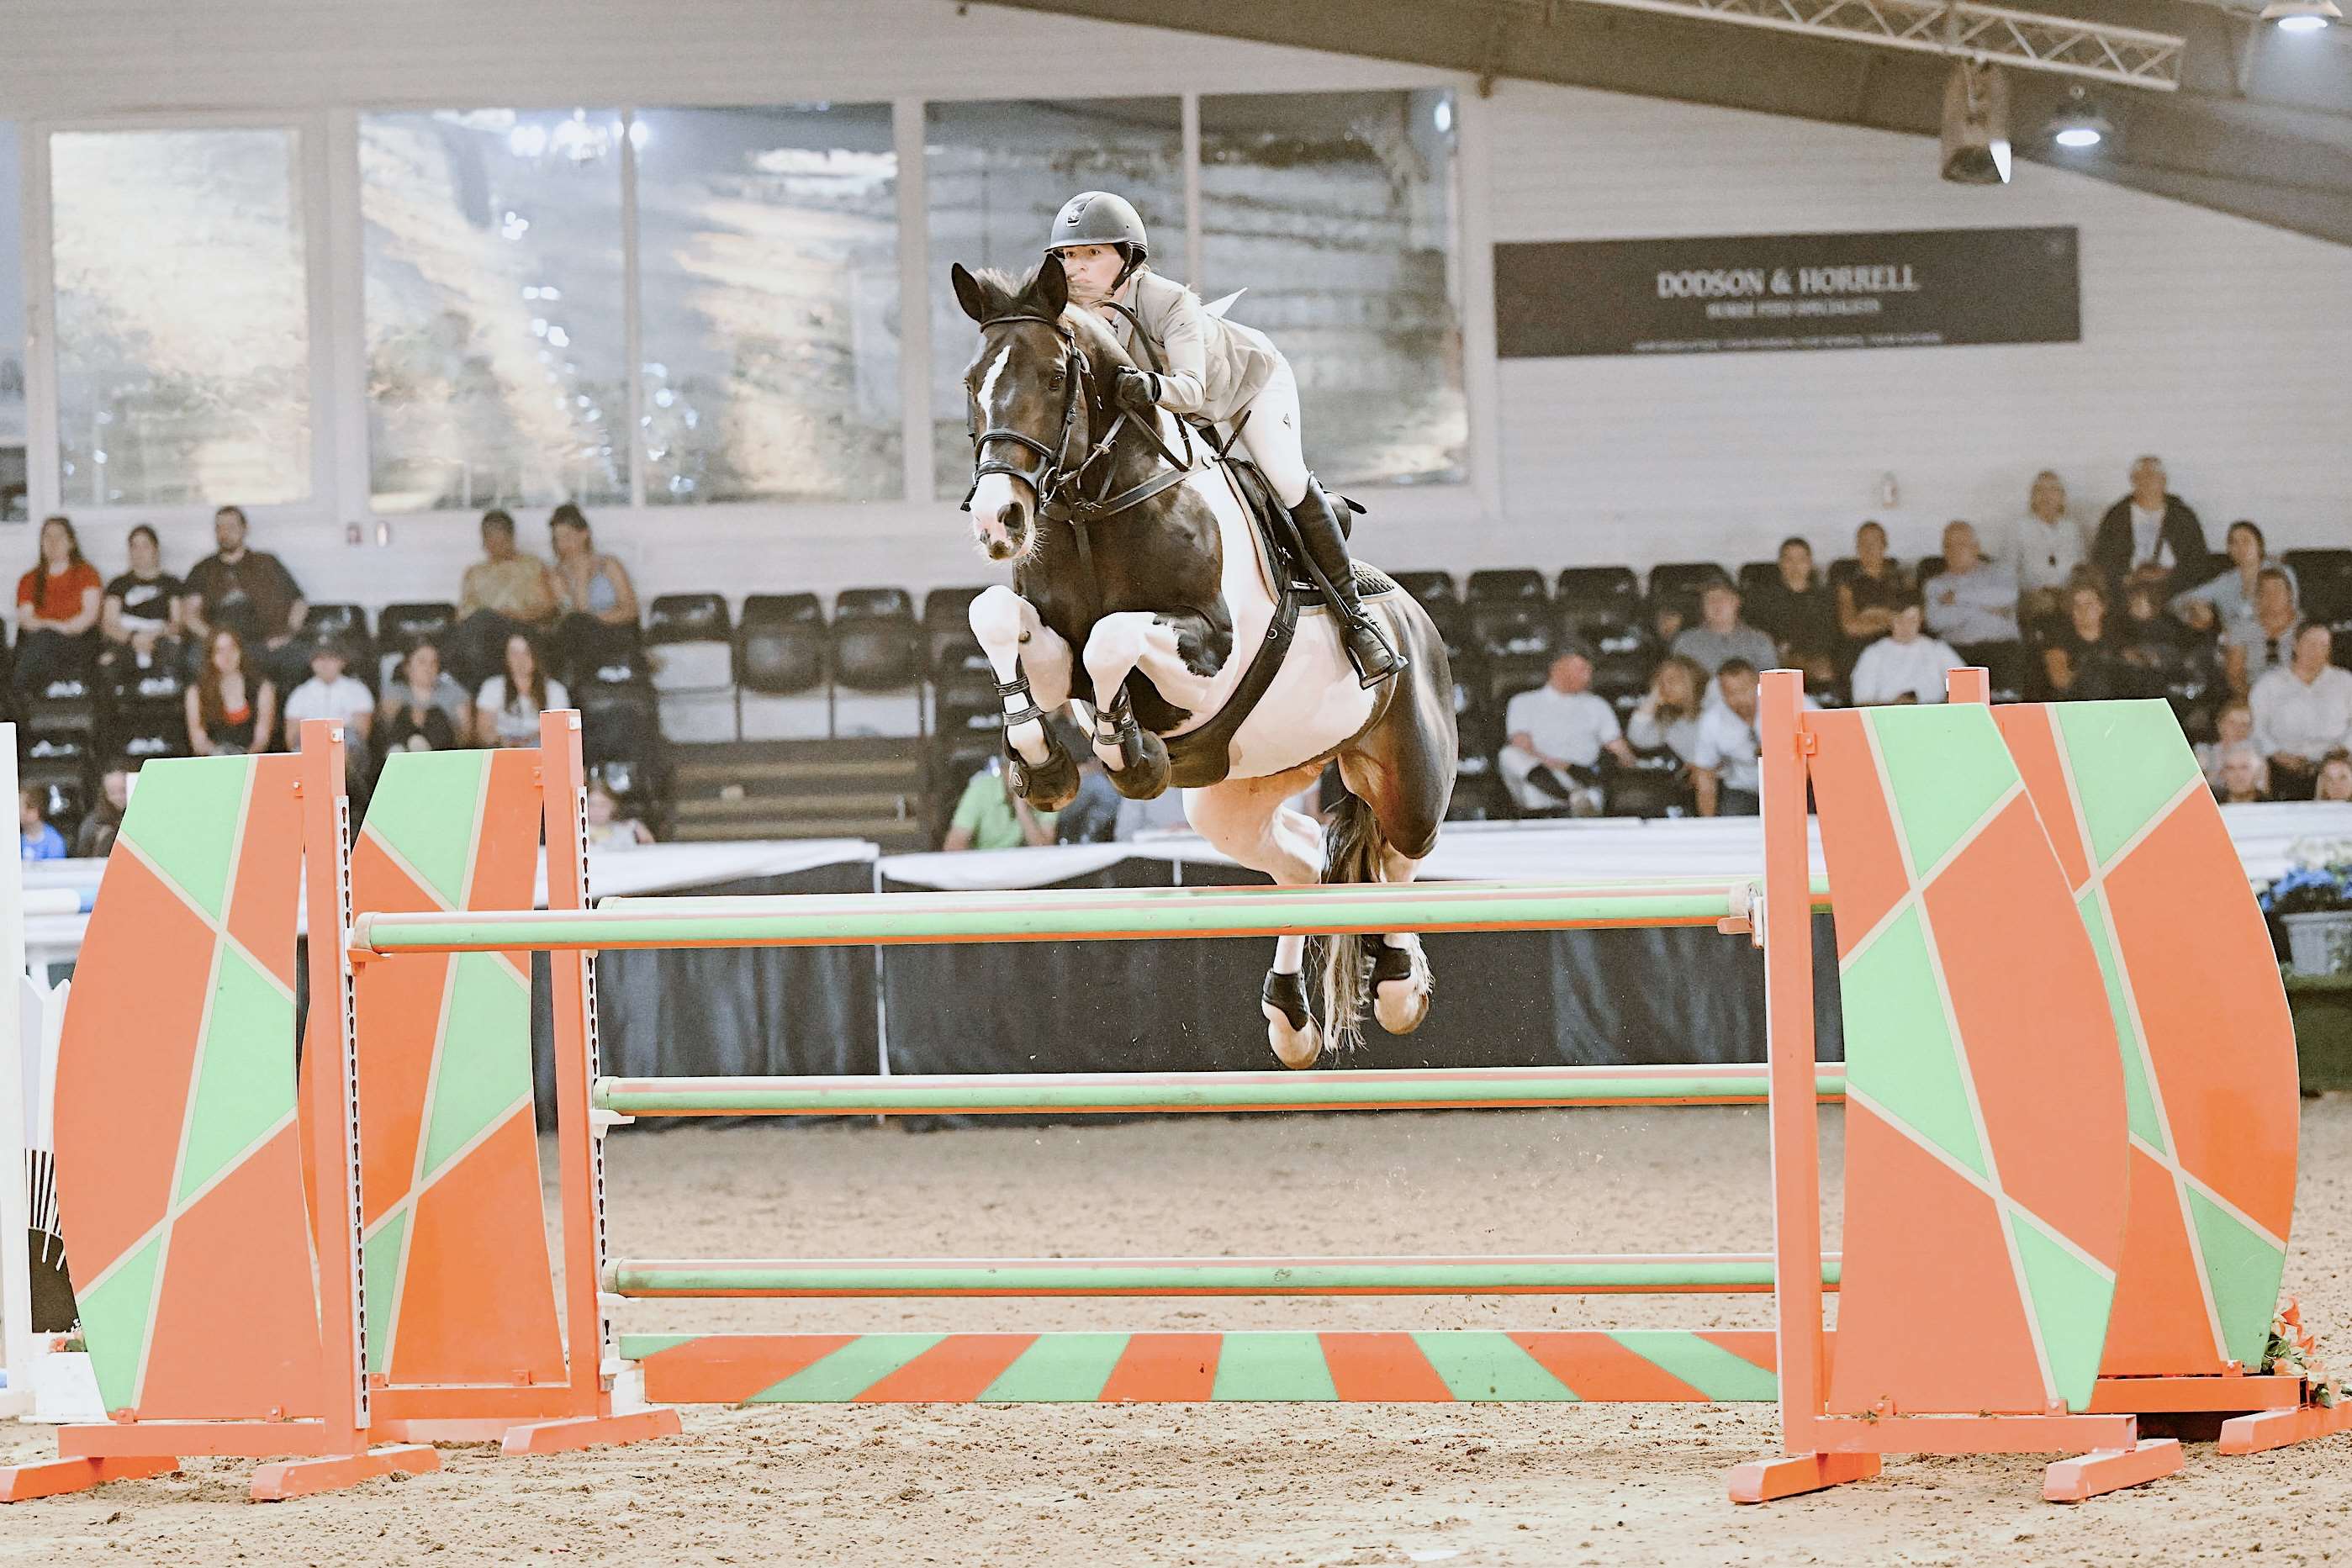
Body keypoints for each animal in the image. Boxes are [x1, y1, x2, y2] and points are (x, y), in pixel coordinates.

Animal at [949, 254, 1458, 1068]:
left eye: (1056, 377)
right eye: (972, 379)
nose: (1000, 521)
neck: (1097, 509)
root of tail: (1415, 618)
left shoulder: (1212, 648)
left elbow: (1112, 637)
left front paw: (1126, 753)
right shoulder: (1057, 658)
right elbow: (996, 617)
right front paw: (1045, 761)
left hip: (1409, 773)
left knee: (1399, 858)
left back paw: (1401, 984)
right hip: (1235, 789)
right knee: (1302, 864)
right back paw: (1290, 1019)